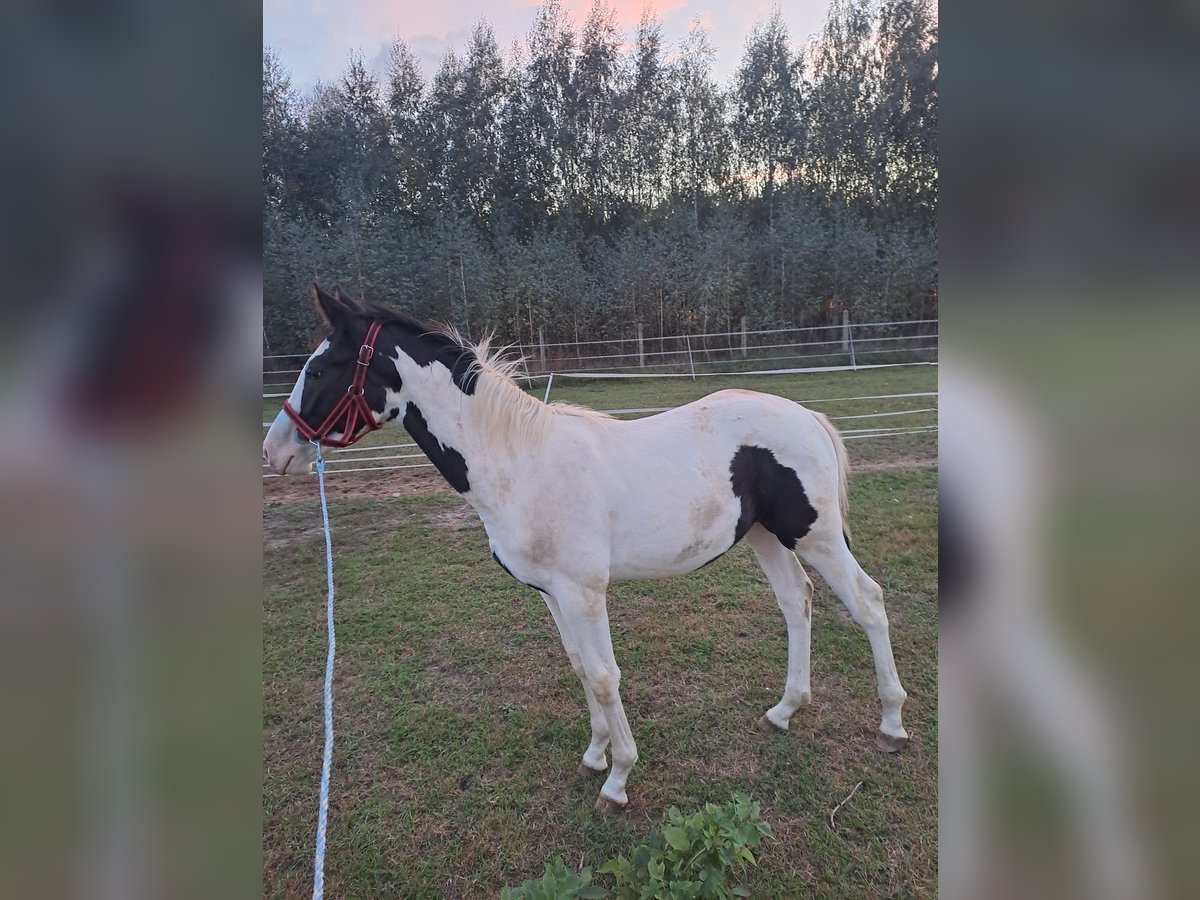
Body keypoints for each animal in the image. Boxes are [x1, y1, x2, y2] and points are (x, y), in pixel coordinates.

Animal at [263, 283, 910, 814]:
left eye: (321, 367)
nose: (275, 450)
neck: (518, 462)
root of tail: (807, 417)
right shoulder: (553, 594)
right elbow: (579, 667)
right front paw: (597, 754)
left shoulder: (583, 593)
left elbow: (602, 676)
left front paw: (618, 779)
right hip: (764, 535)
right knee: (797, 601)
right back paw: (785, 710)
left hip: (815, 535)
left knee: (868, 601)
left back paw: (891, 723)